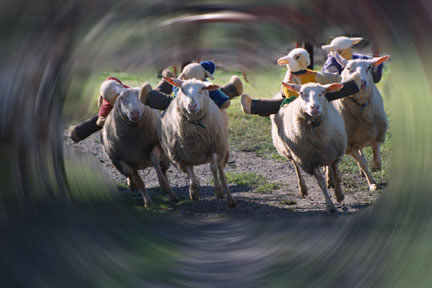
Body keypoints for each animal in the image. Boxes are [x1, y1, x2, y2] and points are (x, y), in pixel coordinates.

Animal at [159, 76, 236, 207]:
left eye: (202, 89)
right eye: (182, 89)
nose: (192, 106)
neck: (195, 128)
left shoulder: (215, 148)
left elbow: (213, 168)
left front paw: (219, 192)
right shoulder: (183, 156)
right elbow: (192, 178)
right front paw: (193, 193)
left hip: (222, 148)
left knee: (220, 171)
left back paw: (230, 198)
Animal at [270, 82, 348, 213]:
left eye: (323, 92)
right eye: (302, 93)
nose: (314, 107)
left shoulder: (335, 154)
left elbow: (337, 175)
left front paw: (339, 195)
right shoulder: (310, 161)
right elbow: (320, 182)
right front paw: (330, 206)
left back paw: (330, 179)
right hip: (291, 152)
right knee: (295, 166)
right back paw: (303, 188)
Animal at [330, 52, 392, 191]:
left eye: (369, 67)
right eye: (348, 68)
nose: (362, 83)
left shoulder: (378, 135)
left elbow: (377, 157)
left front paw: (376, 168)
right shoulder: (348, 146)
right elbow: (363, 163)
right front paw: (372, 183)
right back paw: (329, 180)